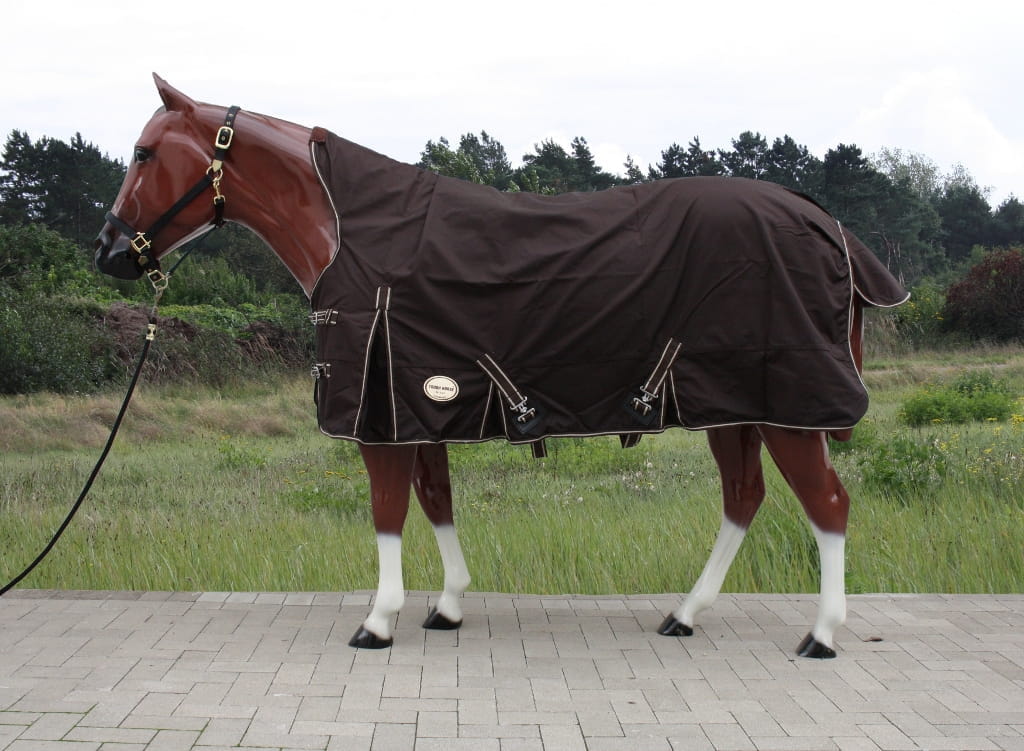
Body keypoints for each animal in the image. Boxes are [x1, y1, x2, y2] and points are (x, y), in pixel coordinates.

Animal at [95, 74, 908, 657]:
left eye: (143, 154)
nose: (108, 253)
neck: (345, 234)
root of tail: (824, 222)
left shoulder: (380, 415)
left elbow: (387, 510)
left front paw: (378, 621)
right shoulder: (418, 404)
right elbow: (434, 500)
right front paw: (447, 605)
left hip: (788, 406)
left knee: (828, 504)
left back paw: (820, 636)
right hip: (732, 406)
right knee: (744, 498)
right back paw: (684, 614)